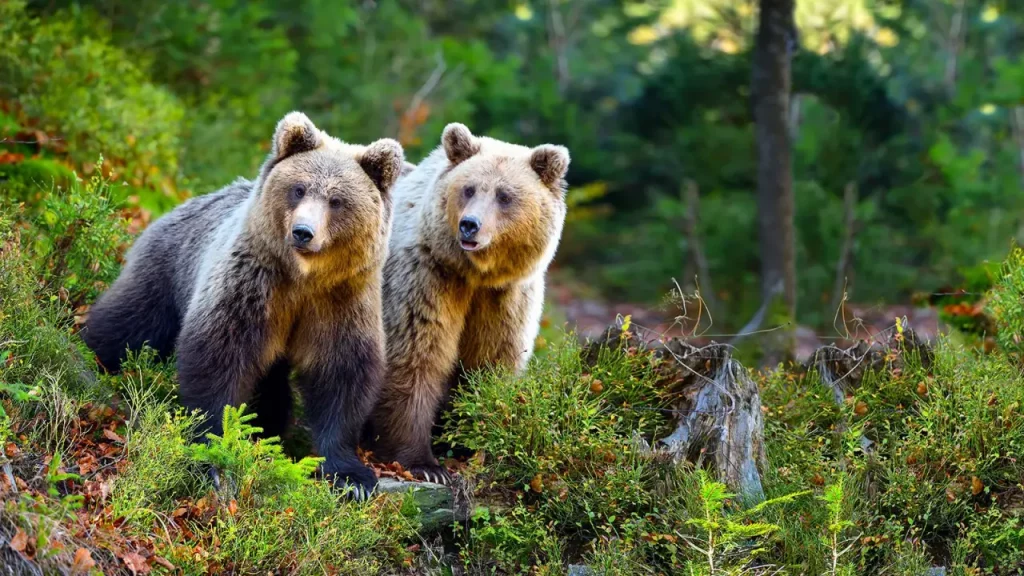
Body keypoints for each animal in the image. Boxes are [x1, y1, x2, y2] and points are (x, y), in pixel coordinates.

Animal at [81, 112, 403, 496]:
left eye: (337, 200)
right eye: (299, 189)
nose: (303, 232)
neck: (303, 278)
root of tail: (179, 205)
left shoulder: (340, 300)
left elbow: (341, 374)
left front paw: (351, 476)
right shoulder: (253, 284)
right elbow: (219, 356)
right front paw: (212, 455)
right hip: (167, 268)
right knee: (131, 320)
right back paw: (91, 352)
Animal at [369, 123, 569, 482]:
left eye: (504, 195)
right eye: (469, 189)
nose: (469, 224)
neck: (476, 274)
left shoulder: (505, 297)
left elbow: (490, 363)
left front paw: (477, 439)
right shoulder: (428, 277)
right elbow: (417, 355)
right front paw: (425, 464)